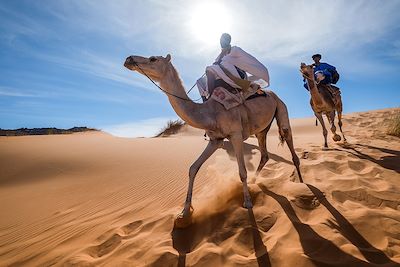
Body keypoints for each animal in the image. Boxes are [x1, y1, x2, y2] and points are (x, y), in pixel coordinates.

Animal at [123, 54, 302, 228]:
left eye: (153, 59)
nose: (128, 59)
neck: (210, 113)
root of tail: (272, 94)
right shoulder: (215, 140)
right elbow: (193, 168)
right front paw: (184, 213)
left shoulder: (236, 134)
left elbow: (242, 171)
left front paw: (248, 202)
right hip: (261, 130)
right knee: (264, 154)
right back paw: (255, 181)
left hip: (282, 109)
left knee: (290, 145)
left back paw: (300, 183)